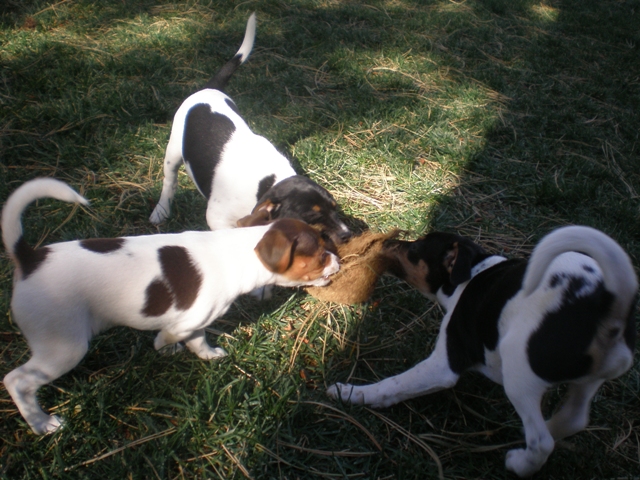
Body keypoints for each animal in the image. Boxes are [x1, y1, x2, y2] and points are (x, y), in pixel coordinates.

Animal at [2, 177, 340, 436]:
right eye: (321, 255)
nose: (338, 261)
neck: (241, 249)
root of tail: (29, 258)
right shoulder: (182, 324)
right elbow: (166, 337)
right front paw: (166, 348)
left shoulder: (195, 321)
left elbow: (199, 341)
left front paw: (207, 355)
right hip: (63, 346)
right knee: (17, 381)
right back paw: (42, 423)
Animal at [148, 13, 352, 246]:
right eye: (312, 215)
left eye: (335, 208)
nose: (347, 235)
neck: (266, 184)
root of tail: (210, 89)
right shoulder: (217, 218)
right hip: (173, 150)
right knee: (169, 181)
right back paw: (161, 211)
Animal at [328, 227, 636, 478]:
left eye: (414, 251)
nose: (388, 242)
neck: (474, 271)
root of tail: (608, 304)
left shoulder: (443, 366)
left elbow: (393, 385)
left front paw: (353, 393)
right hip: (589, 380)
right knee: (574, 418)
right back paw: (550, 427)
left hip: (519, 375)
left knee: (541, 442)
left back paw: (520, 463)